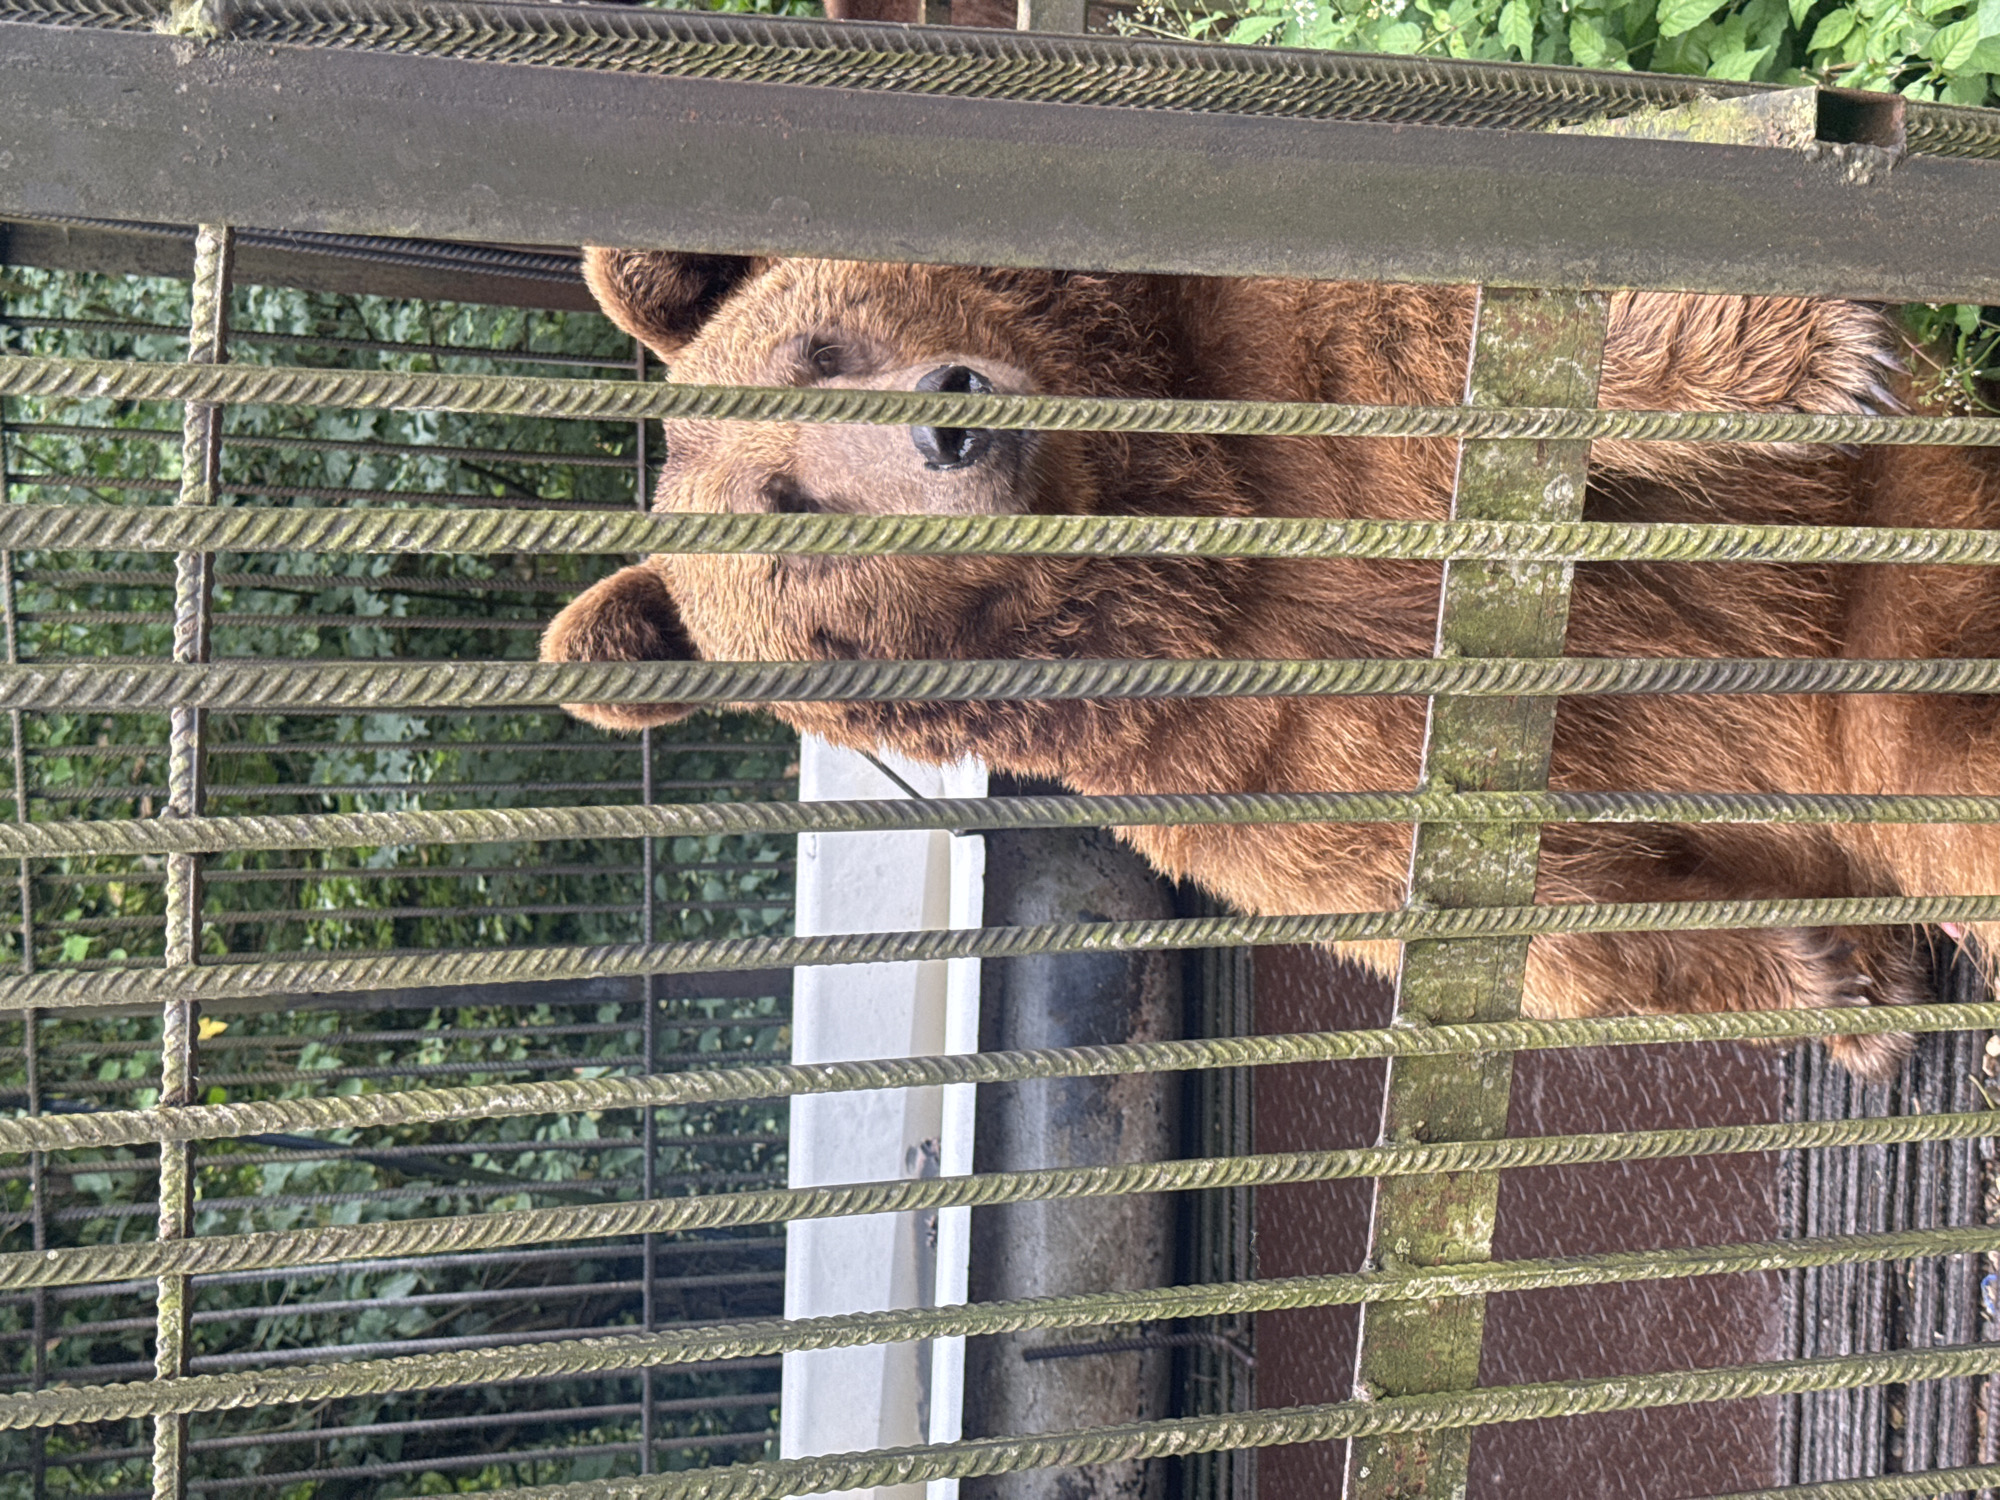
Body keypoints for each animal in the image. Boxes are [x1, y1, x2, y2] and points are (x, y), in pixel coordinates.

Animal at [544, 248, 1997, 1080]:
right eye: (788, 513)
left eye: (823, 347)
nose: (950, 423)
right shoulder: (1246, 758)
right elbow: (1511, 911)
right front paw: (1841, 981)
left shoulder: (1278, 371)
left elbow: (1473, 350)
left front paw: (1822, 362)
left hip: (1895, 563)